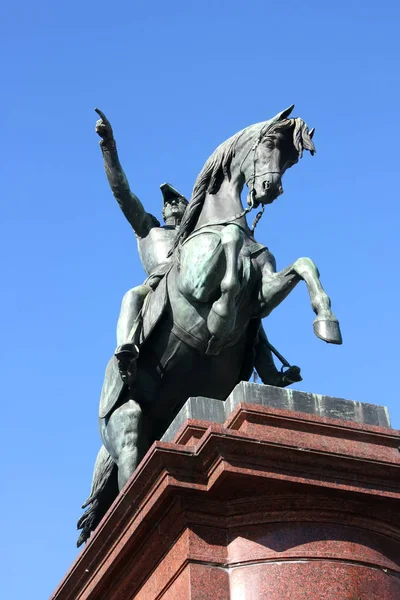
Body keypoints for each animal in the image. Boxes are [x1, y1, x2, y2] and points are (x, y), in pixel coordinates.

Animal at [77, 105, 340, 548]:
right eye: (270, 142)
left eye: (291, 158)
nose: (269, 190)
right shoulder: (196, 282)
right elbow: (229, 252)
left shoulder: (264, 294)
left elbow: (304, 265)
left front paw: (327, 323)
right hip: (125, 422)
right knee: (129, 479)